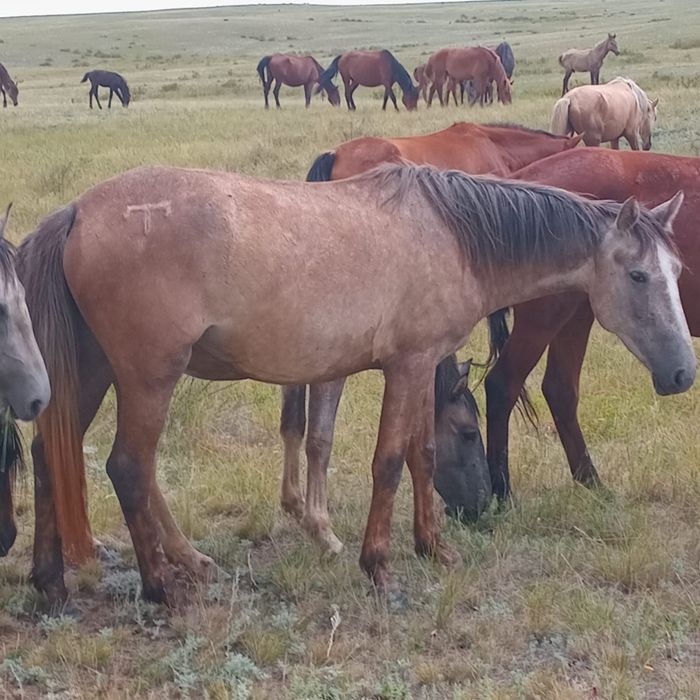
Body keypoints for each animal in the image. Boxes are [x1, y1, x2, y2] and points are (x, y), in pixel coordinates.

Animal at [280, 356, 491, 554]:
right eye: (469, 433)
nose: (484, 501)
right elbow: (319, 440)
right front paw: (322, 532)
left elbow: (293, 424)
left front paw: (295, 503)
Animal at [483, 147, 700, 500]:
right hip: (545, 319)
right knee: (503, 384)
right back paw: (502, 493)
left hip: (576, 316)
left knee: (559, 389)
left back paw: (591, 481)